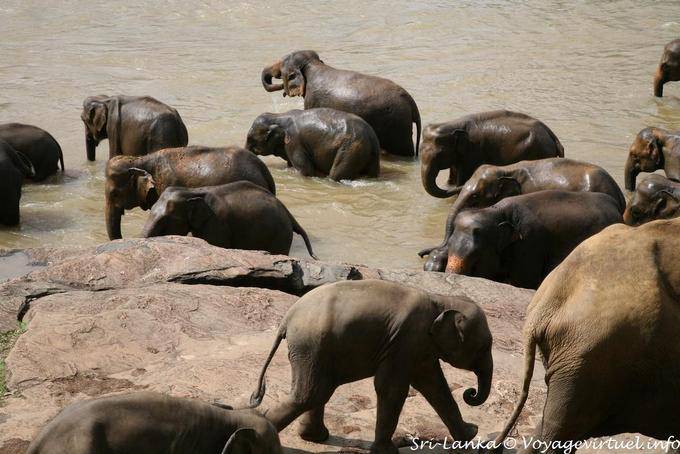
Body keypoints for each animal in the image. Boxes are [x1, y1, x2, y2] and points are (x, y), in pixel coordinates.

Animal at [245, 108, 380, 180]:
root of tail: (371, 136)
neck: (278, 116)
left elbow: (306, 170)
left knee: (336, 175)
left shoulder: (294, 142)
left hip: (351, 149)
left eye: (250, 139)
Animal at [248, 279, 493, 454]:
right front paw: (387, 451)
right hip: (311, 345)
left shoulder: (420, 347)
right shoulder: (406, 339)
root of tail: (286, 318)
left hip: (315, 350)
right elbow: (392, 388)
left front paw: (470, 434)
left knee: (317, 391)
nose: (470, 393)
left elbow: (434, 385)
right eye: (484, 347)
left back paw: (316, 437)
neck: (441, 300)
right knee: (310, 394)